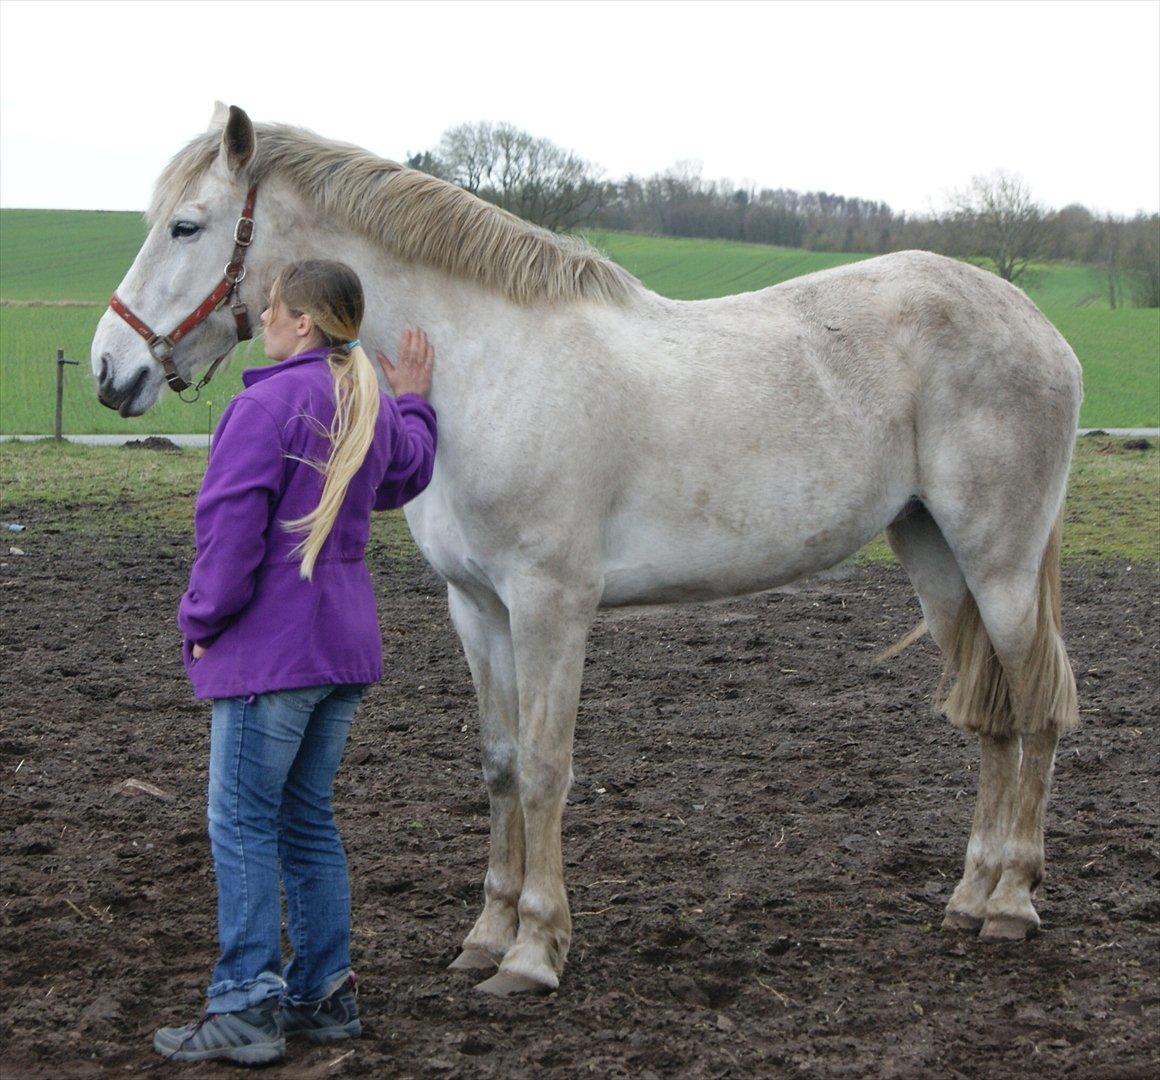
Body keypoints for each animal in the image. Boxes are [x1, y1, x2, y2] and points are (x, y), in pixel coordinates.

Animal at [95, 107, 1081, 997]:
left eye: (187, 225)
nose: (112, 371)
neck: (489, 368)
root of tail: (1037, 325)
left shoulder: (550, 604)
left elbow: (544, 769)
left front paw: (534, 954)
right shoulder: (478, 608)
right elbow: (499, 765)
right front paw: (485, 938)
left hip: (997, 566)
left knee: (1034, 709)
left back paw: (1011, 905)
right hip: (936, 558)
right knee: (992, 717)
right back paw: (969, 895)